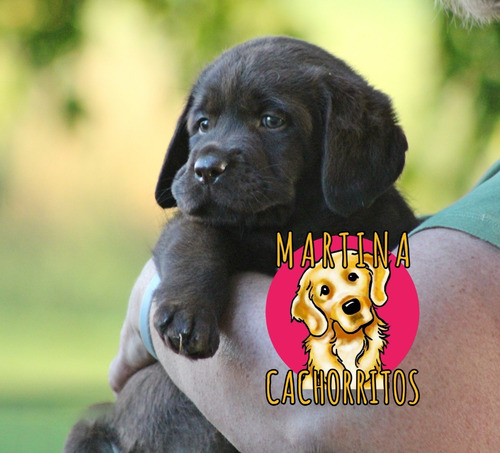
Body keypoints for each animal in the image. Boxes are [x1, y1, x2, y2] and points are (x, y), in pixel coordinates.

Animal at [65, 37, 418, 450]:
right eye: (202, 124)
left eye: (272, 120)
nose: (205, 169)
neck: (290, 228)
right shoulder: (194, 221)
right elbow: (196, 237)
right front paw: (187, 312)